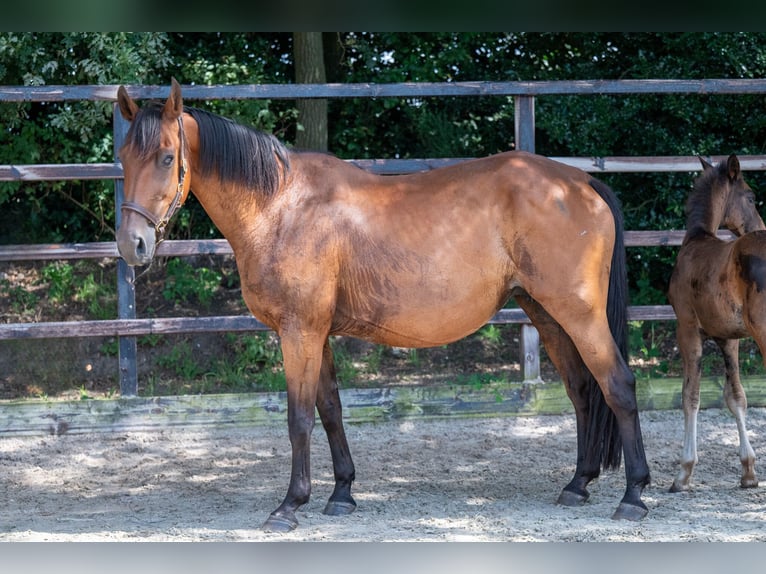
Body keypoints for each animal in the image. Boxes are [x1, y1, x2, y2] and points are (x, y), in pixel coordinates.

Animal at [117, 79, 652, 532]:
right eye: (123, 157)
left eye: (166, 157)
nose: (131, 244)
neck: (281, 207)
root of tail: (579, 183)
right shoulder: (317, 334)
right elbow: (331, 410)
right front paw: (342, 494)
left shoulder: (299, 331)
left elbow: (299, 417)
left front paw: (290, 505)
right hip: (547, 313)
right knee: (583, 391)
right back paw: (577, 484)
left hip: (579, 314)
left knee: (618, 385)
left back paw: (634, 496)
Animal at [668, 153, 764, 496]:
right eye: (751, 197)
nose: (761, 225)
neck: (698, 238)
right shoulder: (728, 338)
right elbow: (736, 397)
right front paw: (748, 471)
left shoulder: (686, 329)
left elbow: (690, 396)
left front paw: (683, 473)